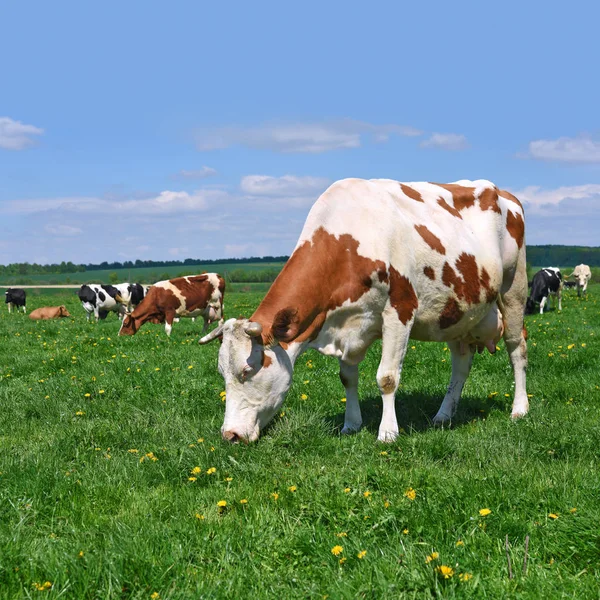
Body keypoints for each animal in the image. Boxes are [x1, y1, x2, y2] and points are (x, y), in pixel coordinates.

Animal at [199, 176, 528, 442]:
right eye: (221, 373)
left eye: (247, 371)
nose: (230, 435)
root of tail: (503, 193)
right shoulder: (349, 325)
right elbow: (347, 377)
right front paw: (351, 425)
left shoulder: (399, 311)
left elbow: (387, 377)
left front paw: (387, 433)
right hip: (457, 312)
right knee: (461, 361)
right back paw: (443, 415)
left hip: (514, 288)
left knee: (517, 347)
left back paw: (519, 409)